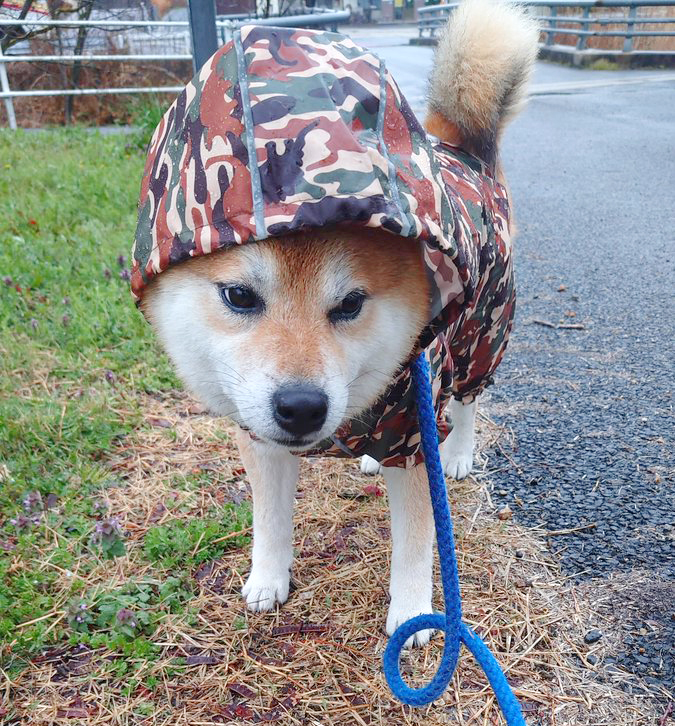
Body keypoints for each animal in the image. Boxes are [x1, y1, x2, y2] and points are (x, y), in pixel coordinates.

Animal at [133, 0, 540, 648]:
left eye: (350, 304)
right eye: (239, 296)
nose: (301, 407)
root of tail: (467, 154)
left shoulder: (416, 429)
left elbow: (416, 543)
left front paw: (412, 614)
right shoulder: (261, 440)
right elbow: (270, 520)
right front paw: (268, 579)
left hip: (482, 334)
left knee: (468, 399)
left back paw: (459, 451)